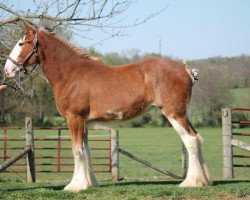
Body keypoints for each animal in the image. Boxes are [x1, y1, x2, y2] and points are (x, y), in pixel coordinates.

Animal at [4, 24, 211, 191]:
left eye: (21, 44)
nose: (7, 70)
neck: (72, 73)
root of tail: (185, 69)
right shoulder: (83, 122)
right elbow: (86, 151)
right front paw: (89, 183)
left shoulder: (74, 118)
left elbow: (77, 151)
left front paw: (75, 186)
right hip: (181, 114)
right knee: (197, 137)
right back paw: (204, 180)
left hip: (174, 113)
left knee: (190, 140)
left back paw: (191, 182)